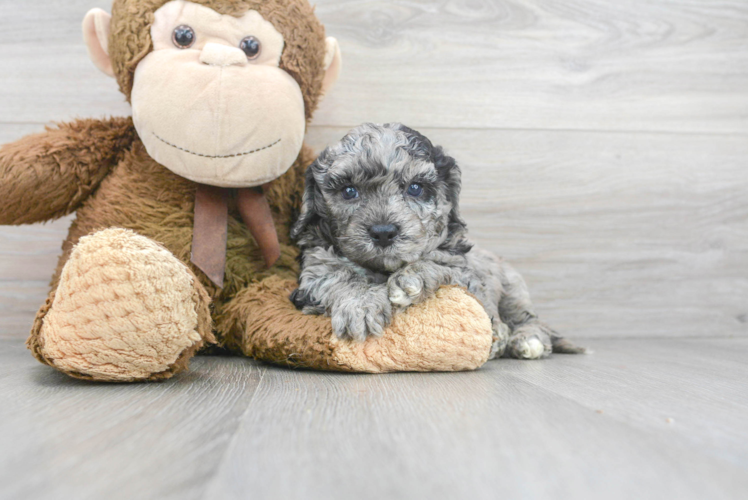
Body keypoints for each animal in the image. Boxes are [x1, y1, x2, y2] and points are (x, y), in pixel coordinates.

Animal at [290, 124, 588, 360]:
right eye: (349, 191)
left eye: (415, 188)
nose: (384, 232)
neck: (383, 270)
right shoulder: (316, 267)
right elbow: (336, 275)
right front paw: (360, 305)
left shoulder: (466, 274)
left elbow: (438, 261)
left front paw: (411, 279)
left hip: (513, 291)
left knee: (531, 321)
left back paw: (526, 341)